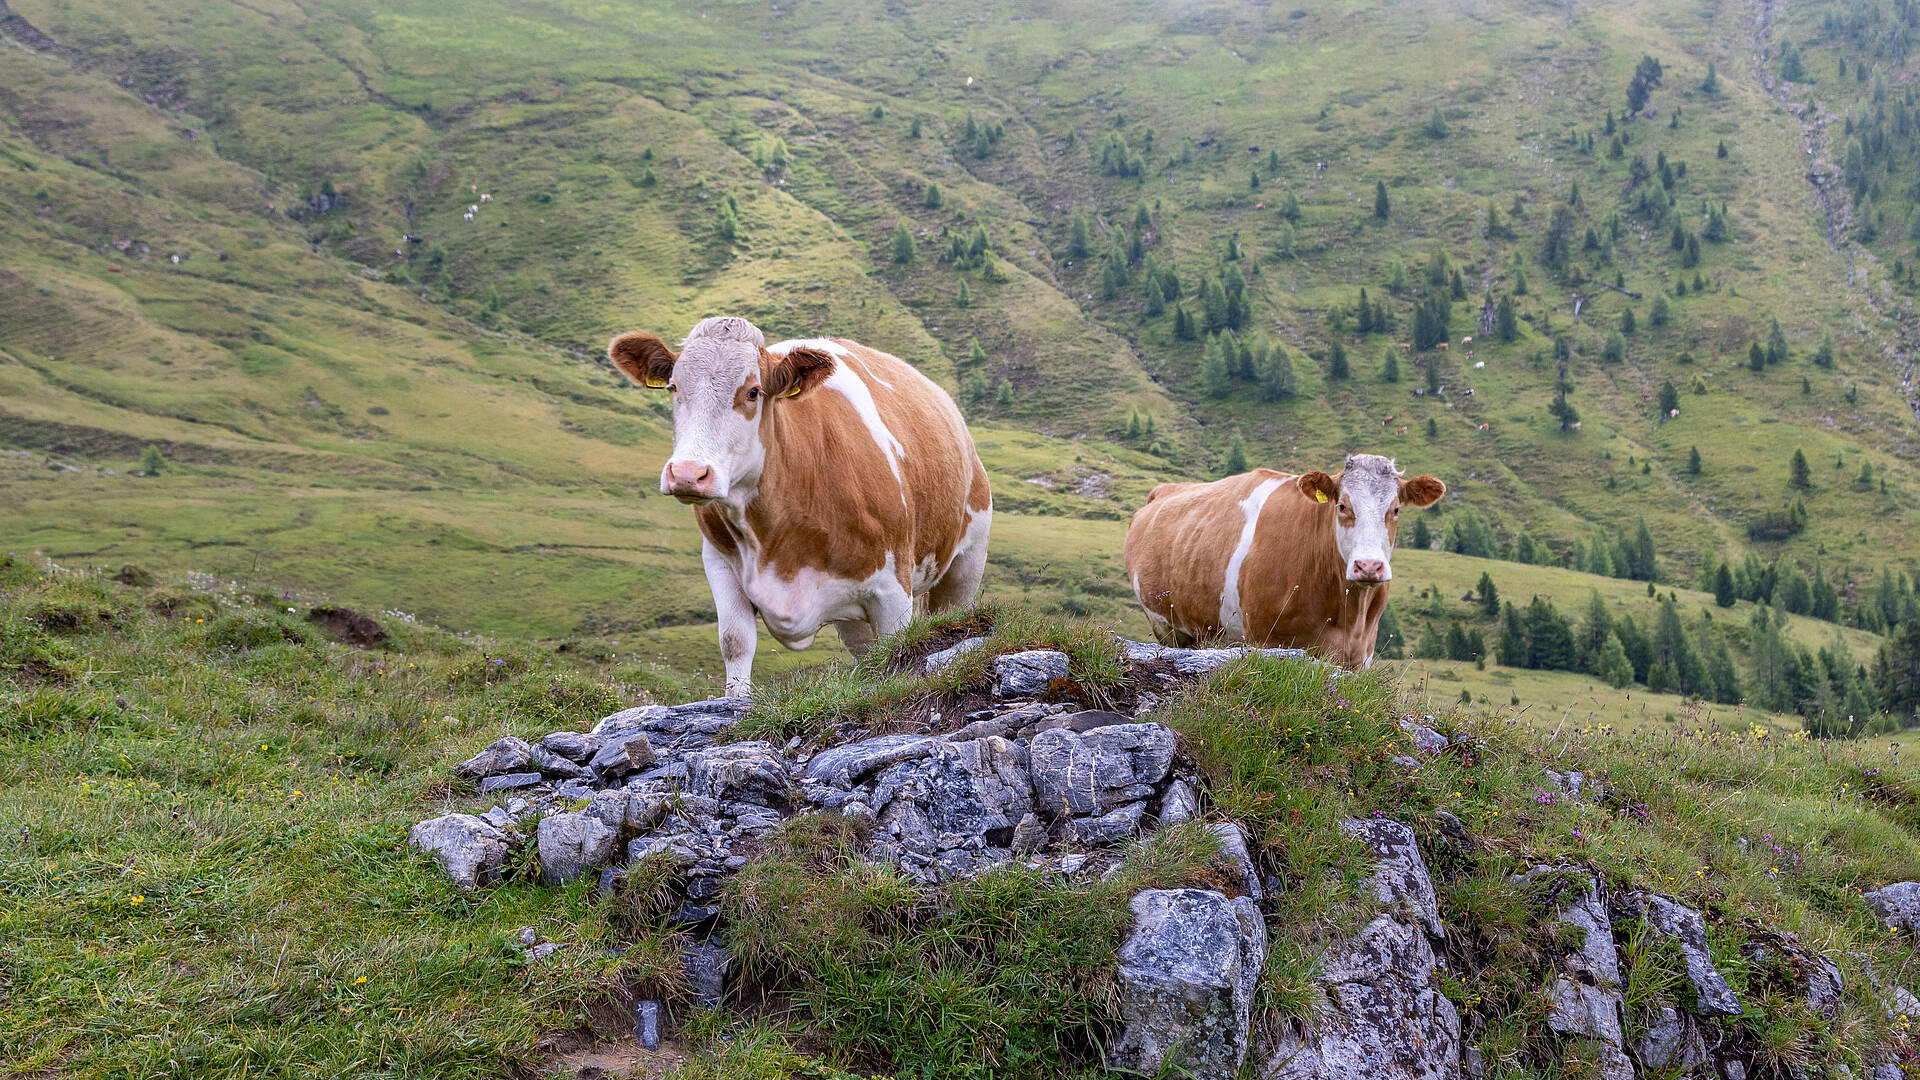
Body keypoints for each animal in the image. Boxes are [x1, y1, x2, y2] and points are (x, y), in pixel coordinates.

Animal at [606, 315, 990, 691]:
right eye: (674, 388)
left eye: (753, 391)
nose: (687, 473)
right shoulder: (718, 561)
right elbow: (735, 641)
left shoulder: (893, 586)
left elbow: (897, 647)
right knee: (866, 650)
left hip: (967, 560)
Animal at [1121, 447, 1443, 664]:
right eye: (1342, 506)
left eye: (1396, 509)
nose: (1368, 566)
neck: (1349, 615)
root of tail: (1164, 489)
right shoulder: (1266, 639)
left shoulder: (1362, 653)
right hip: (1166, 626)